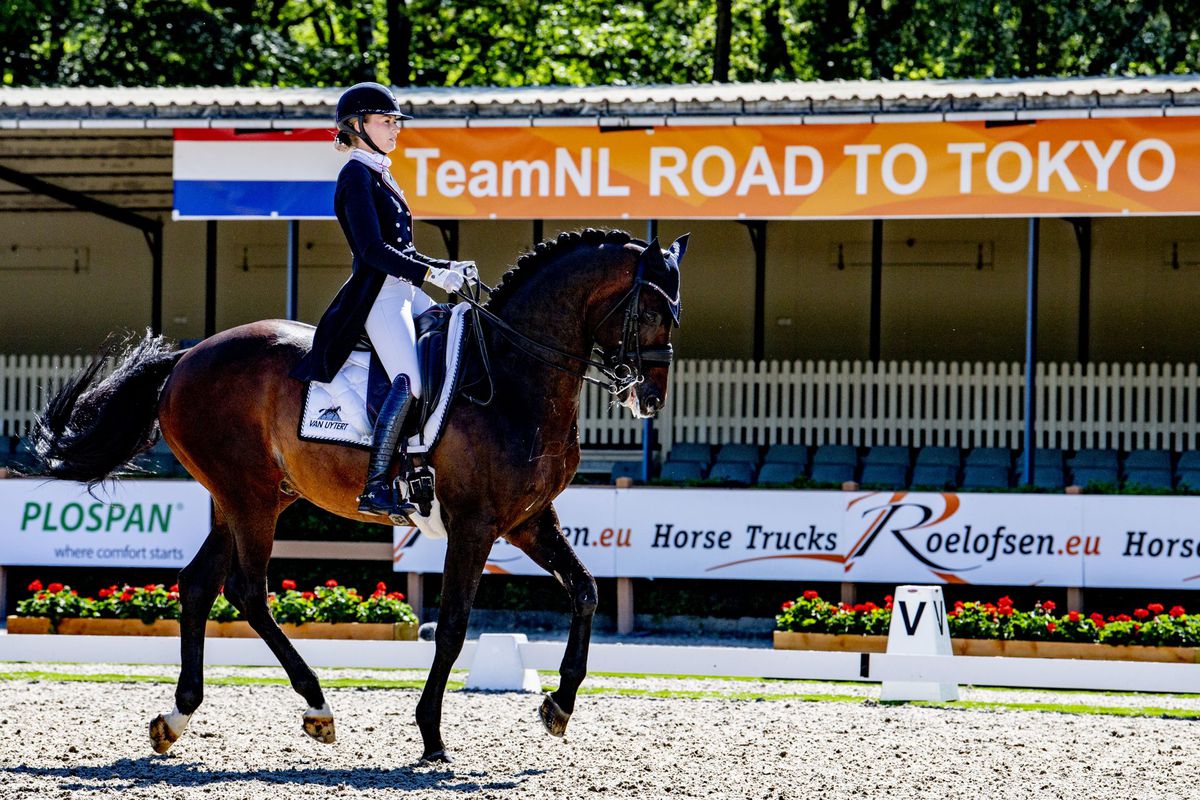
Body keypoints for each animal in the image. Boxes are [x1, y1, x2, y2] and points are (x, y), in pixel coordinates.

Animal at [32, 226, 691, 762]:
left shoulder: (529, 520)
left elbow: (586, 591)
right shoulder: (475, 525)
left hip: (248, 497)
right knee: (248, 592)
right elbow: (453, 626)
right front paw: (431, 735)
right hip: (249, 498)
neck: (511, 378)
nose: (650, 398)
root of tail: (186, 357)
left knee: (198, 586)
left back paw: (176, 718)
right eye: (652, 308)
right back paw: (317, 708)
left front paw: (559, 706)